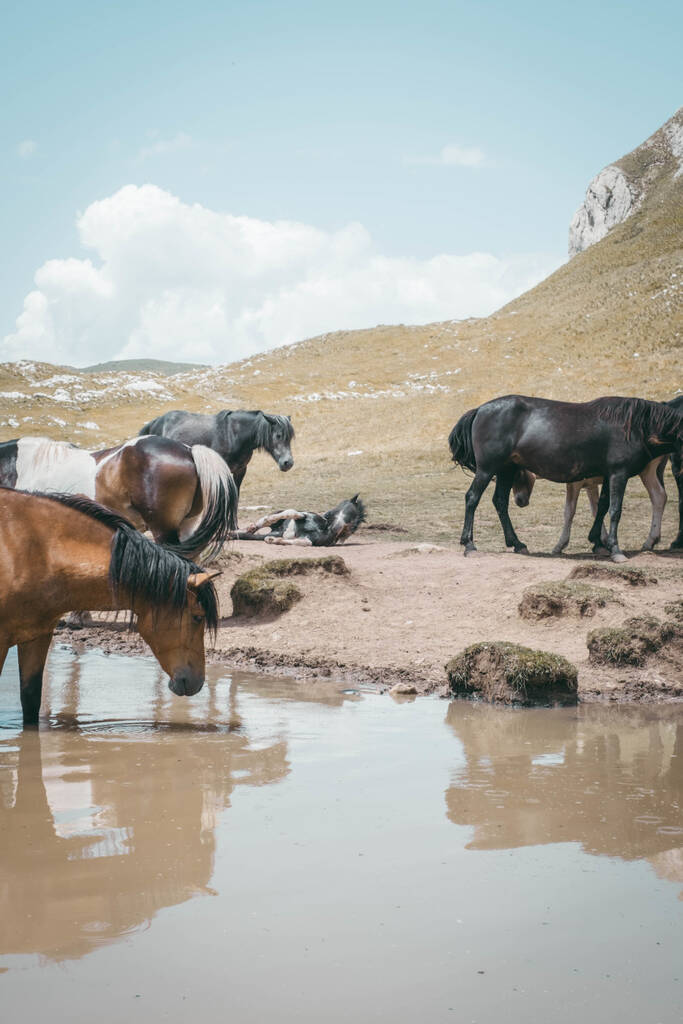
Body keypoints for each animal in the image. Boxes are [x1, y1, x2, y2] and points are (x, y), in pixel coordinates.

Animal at [139, 409, 295, 493]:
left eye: (290, 437)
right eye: (278, 435)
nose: (288, 463)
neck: (233, 435)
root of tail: (156, 422)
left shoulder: (240, 471)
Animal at [233, 495, 366, 546]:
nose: (337, 531)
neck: (324, 526)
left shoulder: (309, 540)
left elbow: (300, 542)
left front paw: (272, 540)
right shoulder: (303, 514)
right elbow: (291, 512)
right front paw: (251, 527)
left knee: (248, 535)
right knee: (265, 520)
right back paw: (245, 529)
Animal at [449, 395, 683, 562]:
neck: (635, 426)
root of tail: (480, 410)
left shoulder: (608, 476)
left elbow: (602, 507)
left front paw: (599, 542)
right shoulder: (619, 474)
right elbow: (615, 510)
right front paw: (616, 550)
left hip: (506, 469)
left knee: (500, 502)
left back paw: (517, 543)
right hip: (487, 469)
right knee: (472, 498)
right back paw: (469, 545)